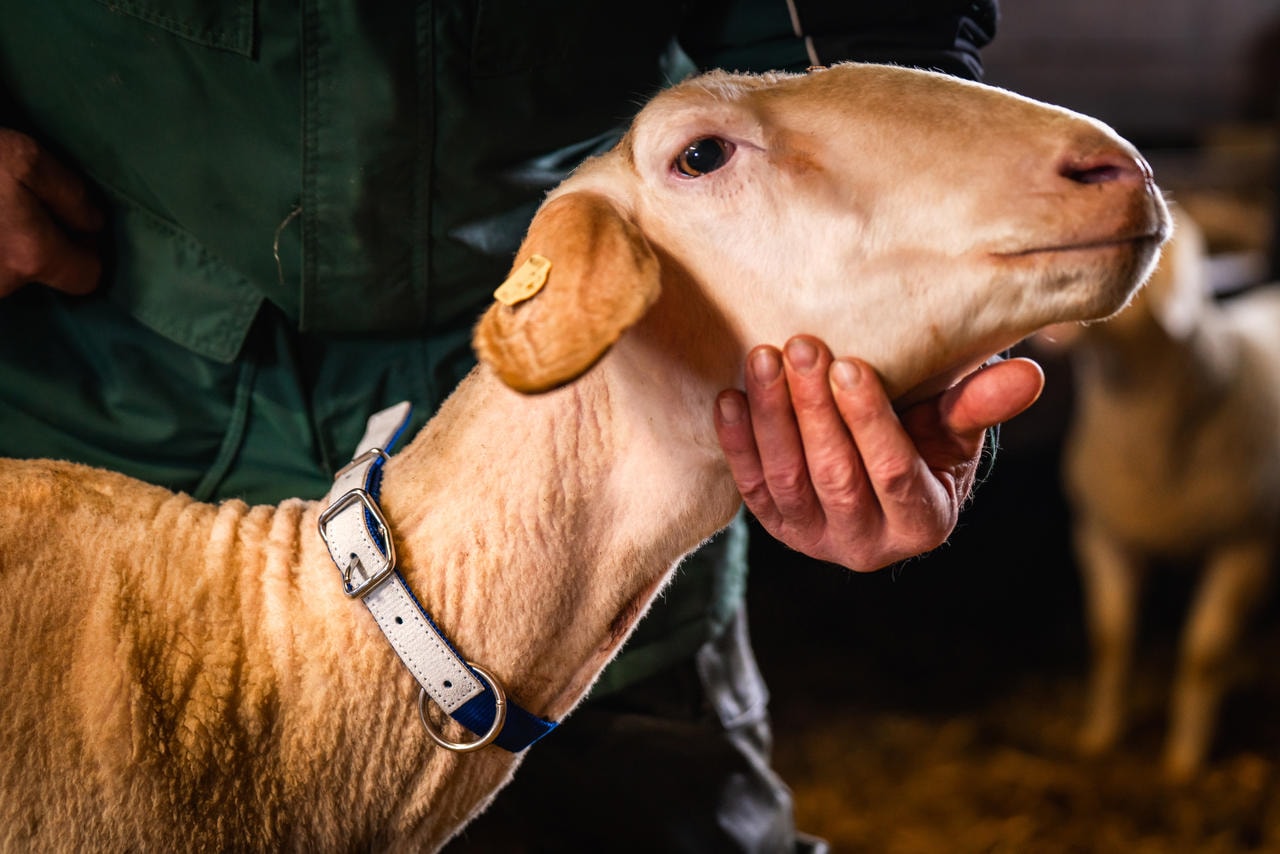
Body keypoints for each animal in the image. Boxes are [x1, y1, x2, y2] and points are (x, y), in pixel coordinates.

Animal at [1056, 206, 1280, 782]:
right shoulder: (1101, 534)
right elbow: (1109, 640)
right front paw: (1100, 735)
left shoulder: (1247, 545)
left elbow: (1204, 656)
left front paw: (1184, 760)